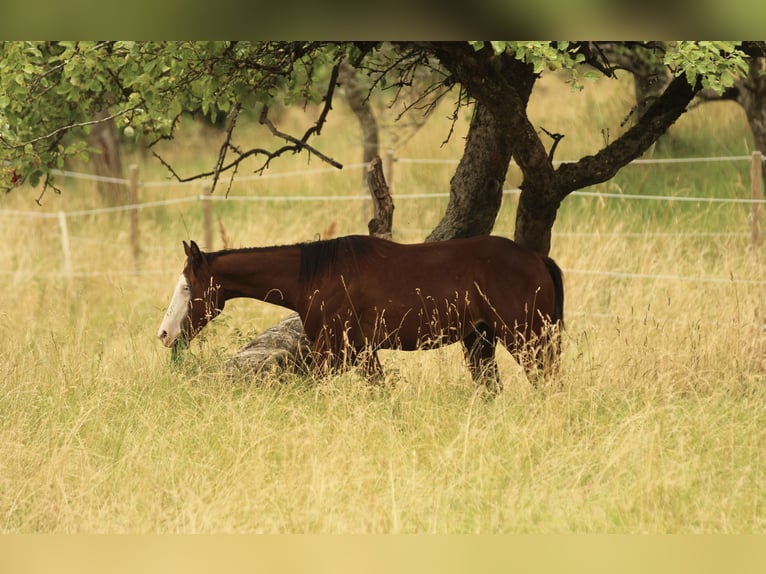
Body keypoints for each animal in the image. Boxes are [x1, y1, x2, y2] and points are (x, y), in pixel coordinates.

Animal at [157, 235, 564, 390]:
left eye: (186, 287)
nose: (164, 334)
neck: (316, 275)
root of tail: (536, 258)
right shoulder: (363, 352)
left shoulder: (334, 351)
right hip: (481, 341)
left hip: (525, 340)